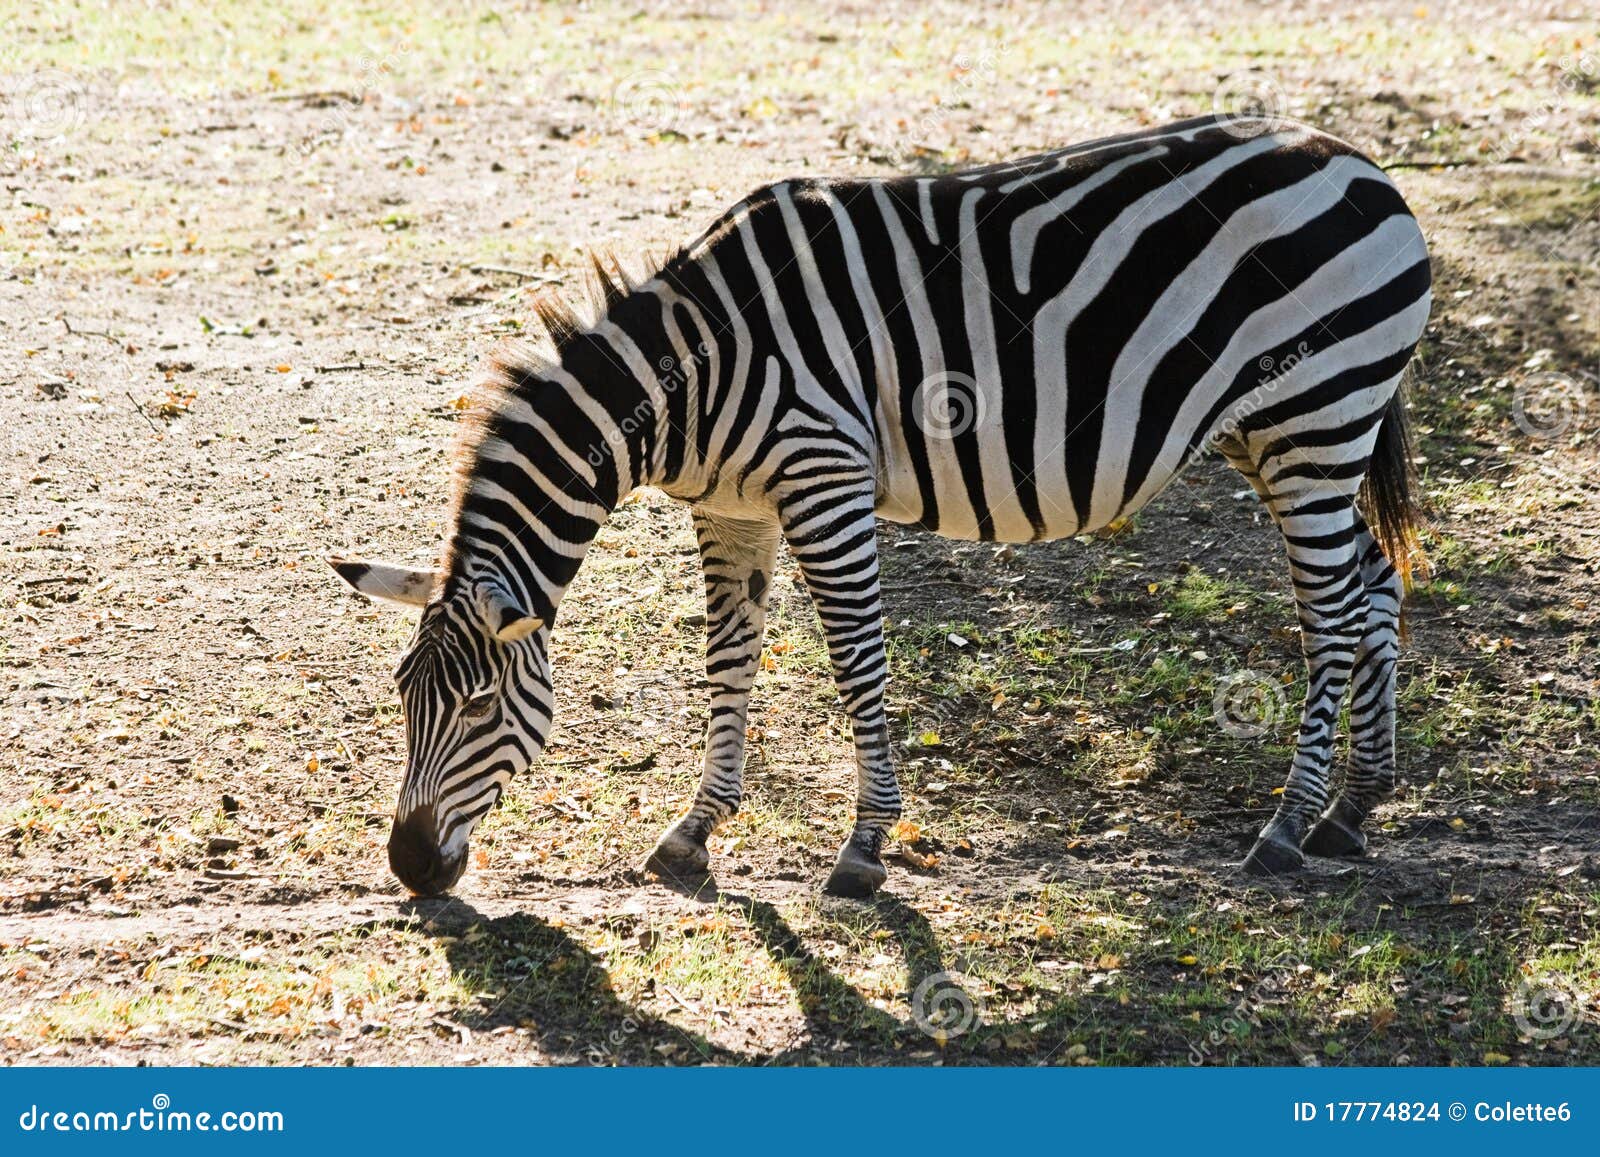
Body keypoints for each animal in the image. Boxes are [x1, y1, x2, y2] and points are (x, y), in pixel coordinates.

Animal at [331, 113, 1431, 899]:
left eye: (479, 704)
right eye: (402, 695)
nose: (411, 868)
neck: (693, 377)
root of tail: (1357, 160)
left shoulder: (824, 483)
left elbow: (857, 662)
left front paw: (863, 848)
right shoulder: (731, 508)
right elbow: (727, 658)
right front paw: (694, 831)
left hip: (1316, 414)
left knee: (1333, 609)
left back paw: (1286, 827)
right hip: (1277, 431)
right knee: (1374, 582)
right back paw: (1352, 808)